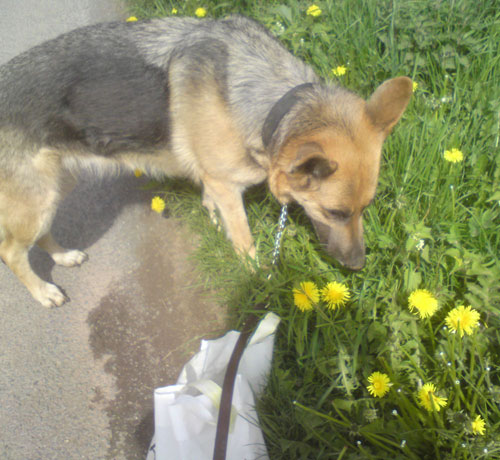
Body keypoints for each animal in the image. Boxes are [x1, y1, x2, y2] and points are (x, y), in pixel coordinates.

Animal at [0, 16, 410, 308]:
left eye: (365, 209)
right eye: (336, 213)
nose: (358, 265)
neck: (271, 105)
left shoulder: (216, 180)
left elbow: (212, 204)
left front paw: (214, 222)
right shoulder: (227, 186)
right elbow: (244, 239)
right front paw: (256, 277)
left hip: (55, 186)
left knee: (38, 235)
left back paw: (64, 256)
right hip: (37, 199)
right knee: (11, 252)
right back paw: (43, 291)